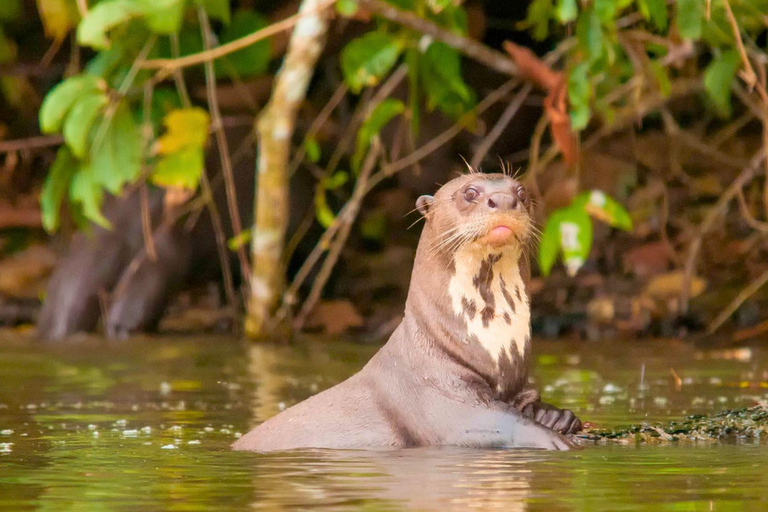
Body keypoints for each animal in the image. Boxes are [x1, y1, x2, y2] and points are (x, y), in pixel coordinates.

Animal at [234, 170, 584, 450]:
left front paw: (558, 417)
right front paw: (556, 439)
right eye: (470, 192)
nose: (504, 199)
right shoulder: (440, 395)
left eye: (521, 192)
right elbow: (499, 422)